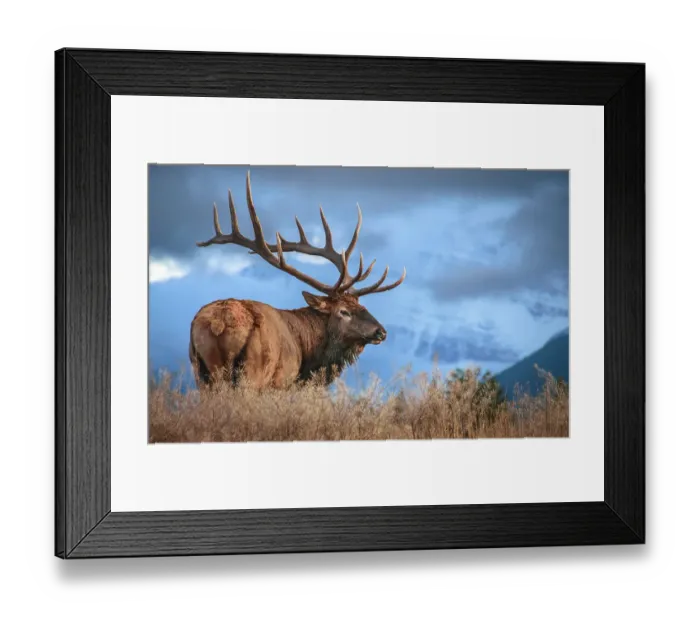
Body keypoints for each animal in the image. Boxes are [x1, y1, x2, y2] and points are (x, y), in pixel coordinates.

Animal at [189, 172, 406, 389]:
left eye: (363, 307)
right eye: (344, 311)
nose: (381, 332)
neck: (307, 356)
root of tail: (219, 322)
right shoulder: (281, 381)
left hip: (200, 371)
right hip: (253, 372)